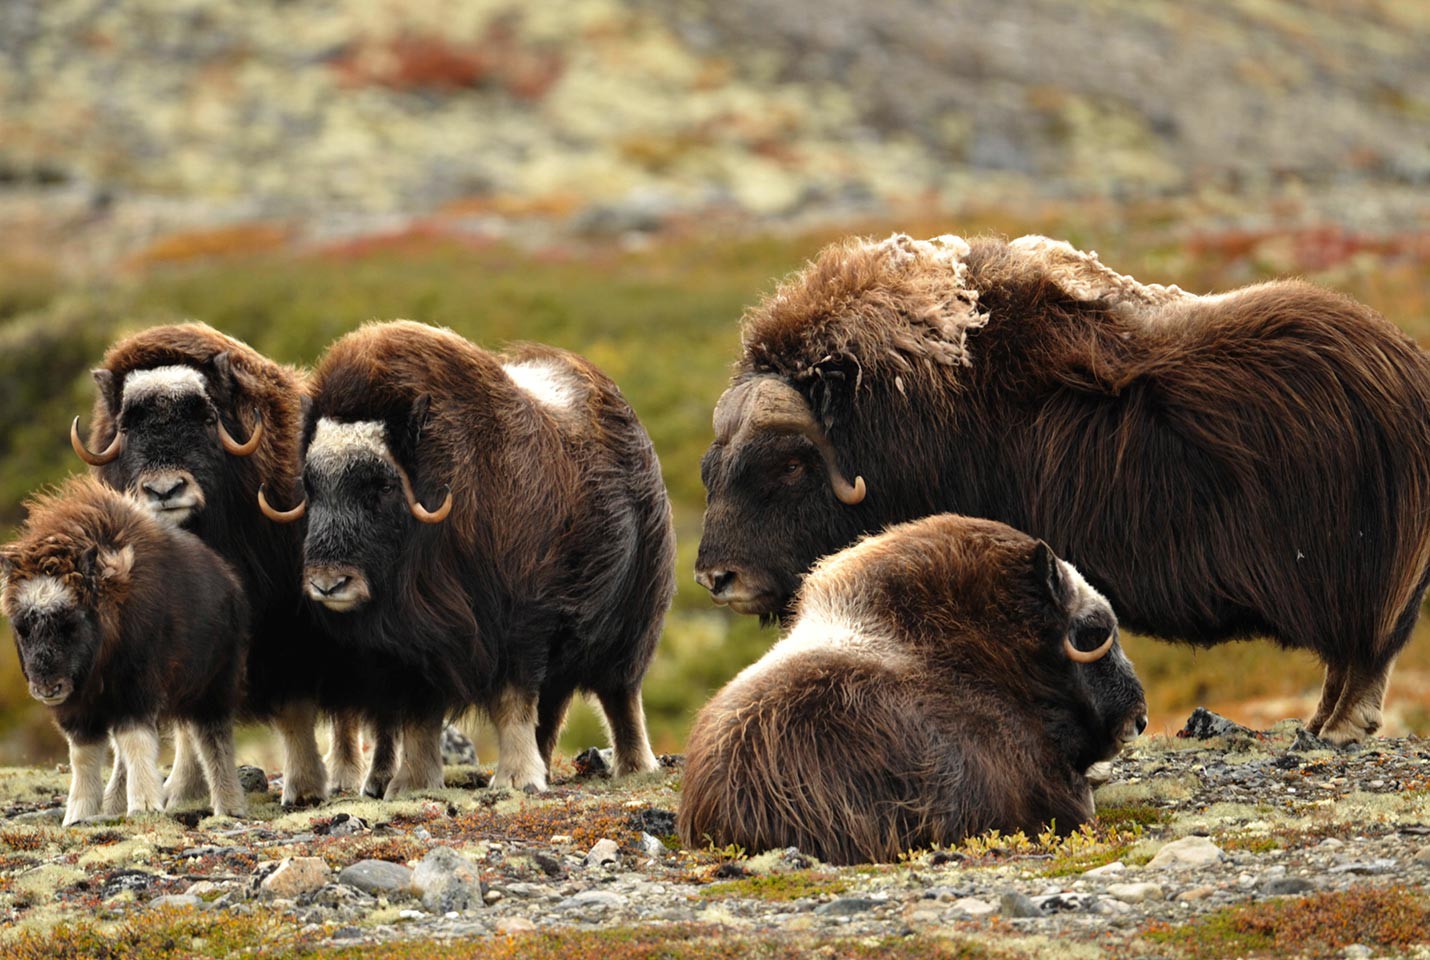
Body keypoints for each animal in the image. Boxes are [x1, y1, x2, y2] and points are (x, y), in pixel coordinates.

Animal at [1, 477, 248, 824]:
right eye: (22, 627)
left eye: (71, 623)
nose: (48, 688)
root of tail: (229, 578)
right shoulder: (80, 707)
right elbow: (84, 755)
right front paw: (77, 814)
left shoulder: (136, 690)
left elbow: (135, 742)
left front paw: (145, 805)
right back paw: (114, 803)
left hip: (213, 685)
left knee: (214, 738)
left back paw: (229, 807)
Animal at [74, 326, 351, 806]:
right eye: (127, 426)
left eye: (206, 418)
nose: (164, 490)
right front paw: (183, 791)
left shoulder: (288, 624)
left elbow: (294, 706)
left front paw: (303, 788)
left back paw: (346, 775)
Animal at [260, 320, 672, 795]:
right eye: (309, 485)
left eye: (382, 485)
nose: (328, 583)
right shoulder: (414, 649)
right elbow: (419, 717)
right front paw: (412, 783)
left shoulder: (521, 623)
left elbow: (513, 701)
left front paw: (515, 779)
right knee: (553, 706)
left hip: (632, 622)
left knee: (620, 694)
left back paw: (633, 766)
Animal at [697, 233, 1430, 743]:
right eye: (711, 468)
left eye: (789, 465)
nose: (716, 577)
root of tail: (1407, 370)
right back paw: (1319, 725)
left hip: (1350, 572)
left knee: (1363, 653)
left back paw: (1335, 729)